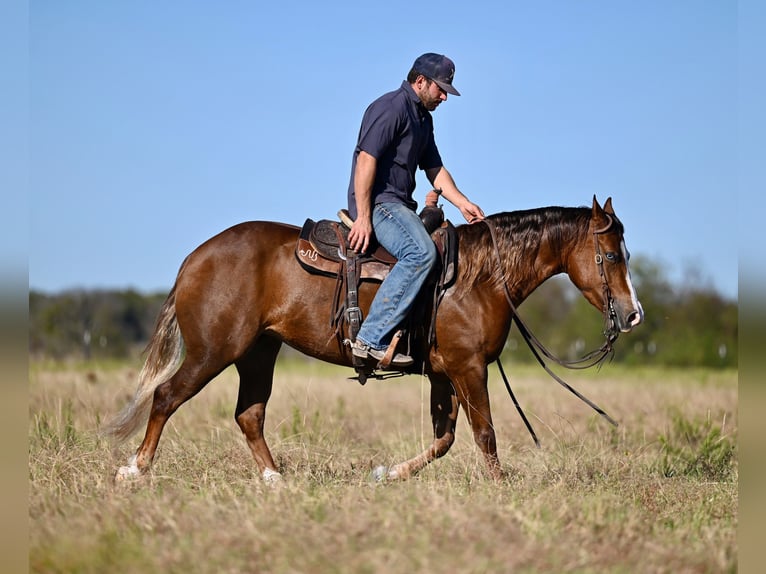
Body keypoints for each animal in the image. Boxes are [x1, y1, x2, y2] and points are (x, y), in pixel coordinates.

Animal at [106, 196, 648, 484]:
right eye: (611, 255)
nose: (633, 314)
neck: (480, 277)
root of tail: (194, 258)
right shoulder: (469, 368)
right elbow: (485, 434)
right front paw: (500, 488)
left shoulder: (444, 374)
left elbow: (445, 439)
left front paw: (389, 474)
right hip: (213, 352)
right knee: (166, 396)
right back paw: (136, 469)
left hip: (258, 352)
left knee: (249, 415)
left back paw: (274, 479)